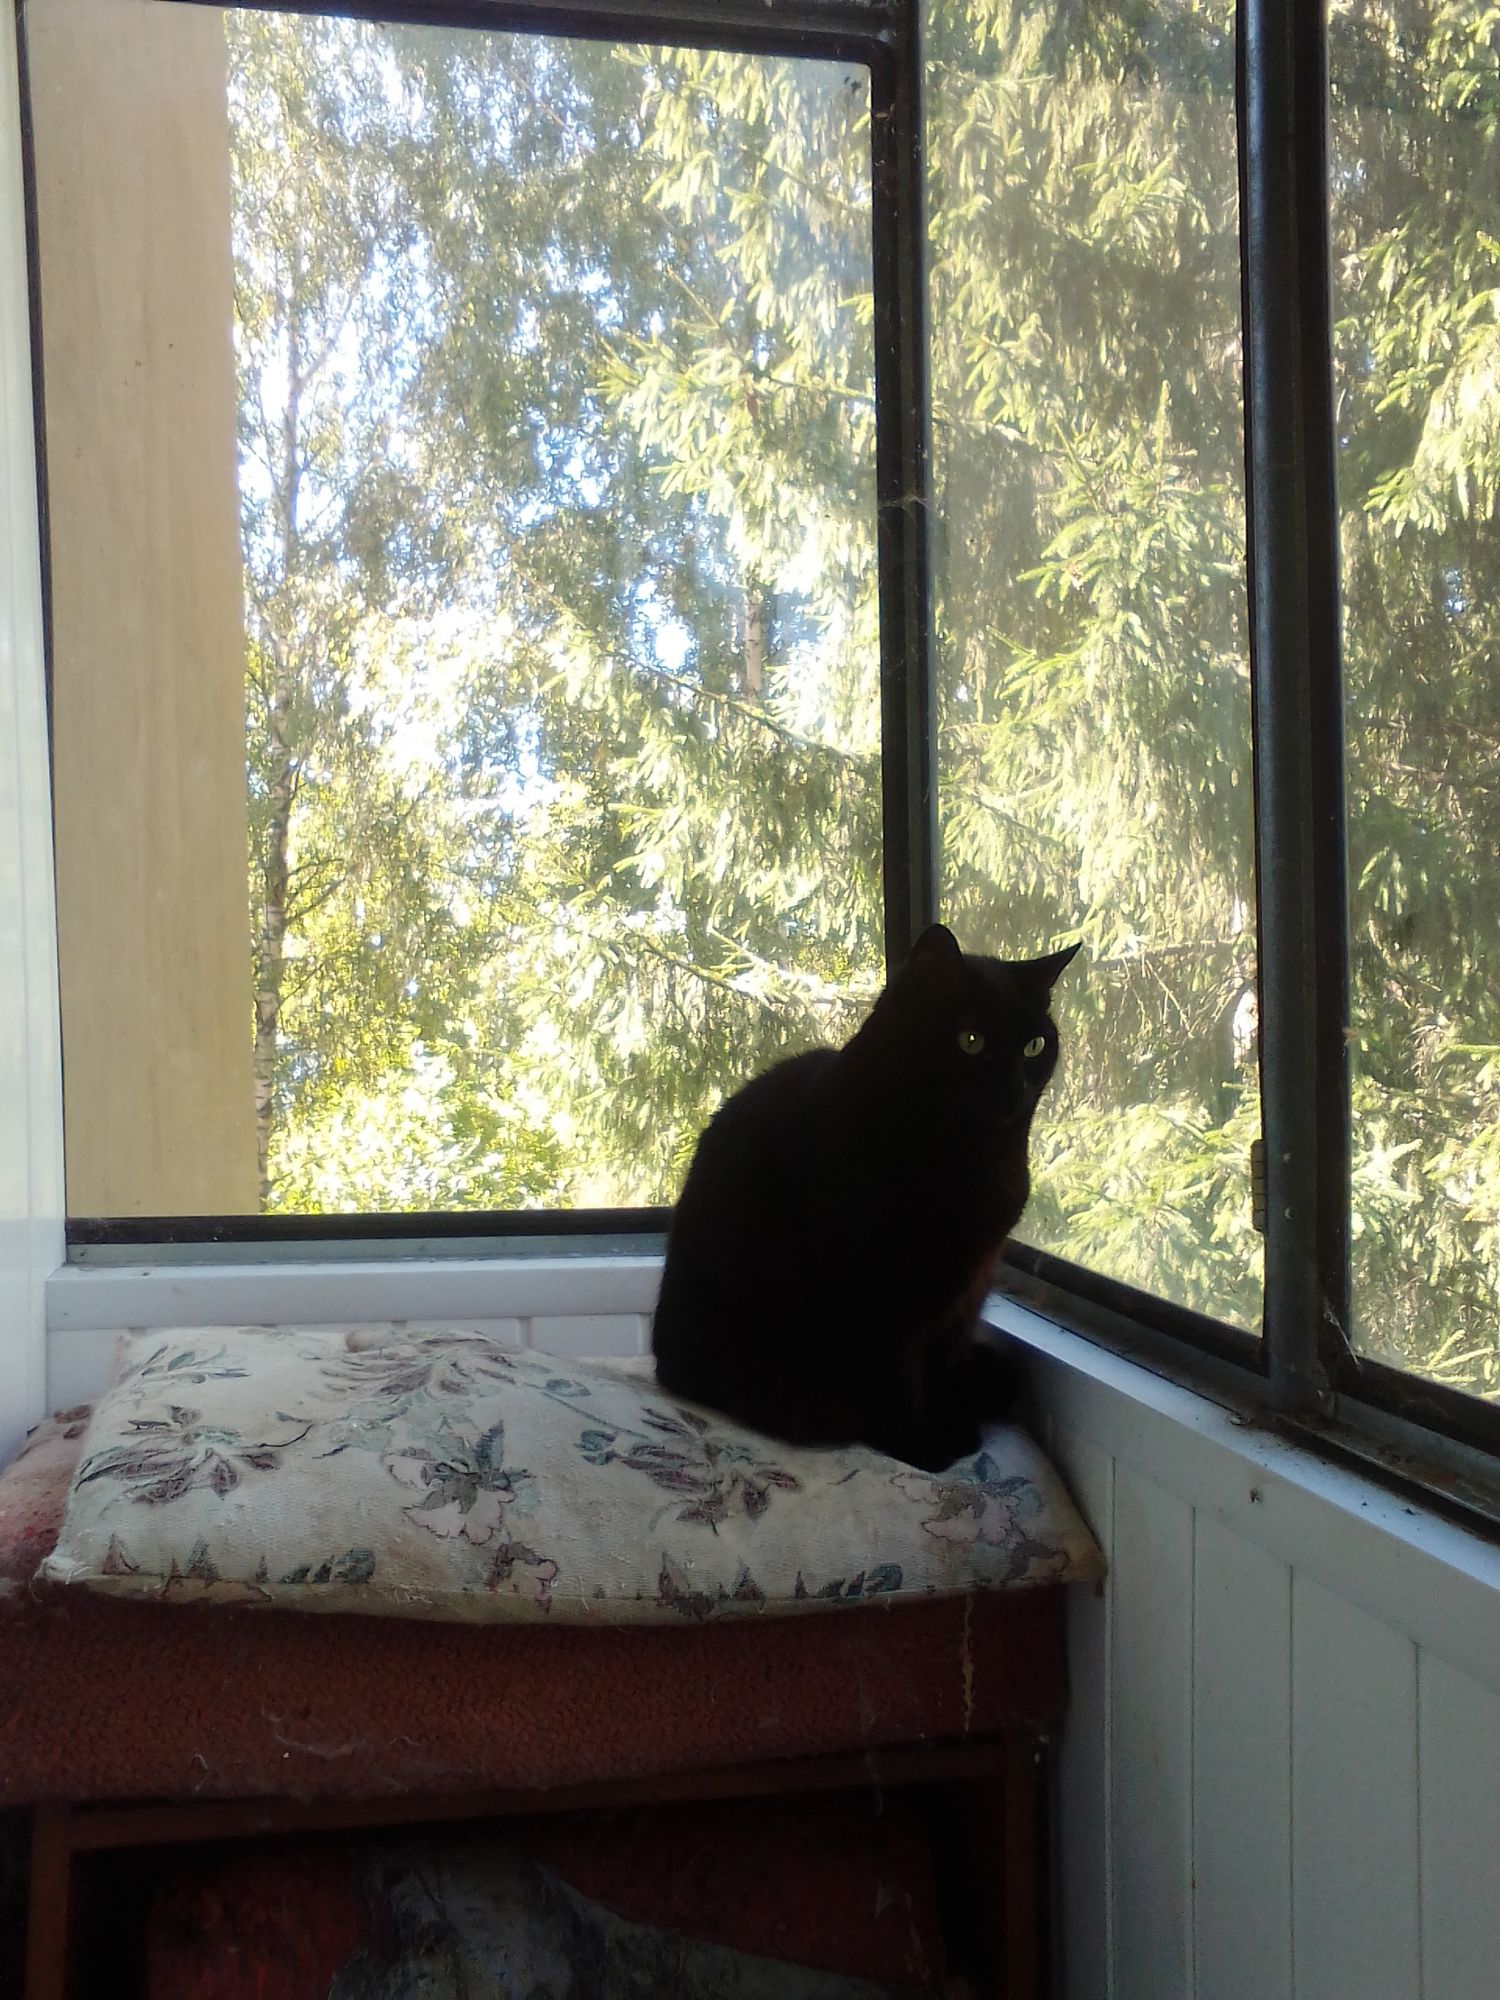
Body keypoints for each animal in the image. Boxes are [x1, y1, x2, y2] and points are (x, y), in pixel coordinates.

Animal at [651, 923, 1079, 1471]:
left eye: (1033, 1046)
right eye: (970, 1040)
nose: (1012, 1089)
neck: (974, 1158)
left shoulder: (963, 1291)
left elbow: (938, 1367)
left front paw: (949, 1421)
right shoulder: (872, 1287)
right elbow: (894, 1375)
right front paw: (920, 1442)